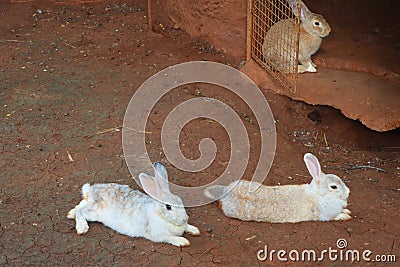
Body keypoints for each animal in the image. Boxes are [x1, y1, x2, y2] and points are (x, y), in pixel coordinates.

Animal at [67, 162, 202, 248]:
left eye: (180, 200)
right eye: (168, 207)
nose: (184, 219)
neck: (161, 216)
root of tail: (91, 190)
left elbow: (188, 227)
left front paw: (195, 230)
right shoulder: (159, 236)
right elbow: (170, 238)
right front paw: (183, 241)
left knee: (81, 205)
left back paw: (71, 213)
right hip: (94, 213)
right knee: (81, 211)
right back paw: (81, 227)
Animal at [205, 154, 352, 223]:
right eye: (334, 187)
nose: (348, 192)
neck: (319, 194)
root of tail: (226, 193)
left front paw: (347, 210)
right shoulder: (325, 214)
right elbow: (335, 216)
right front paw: (345, 216)